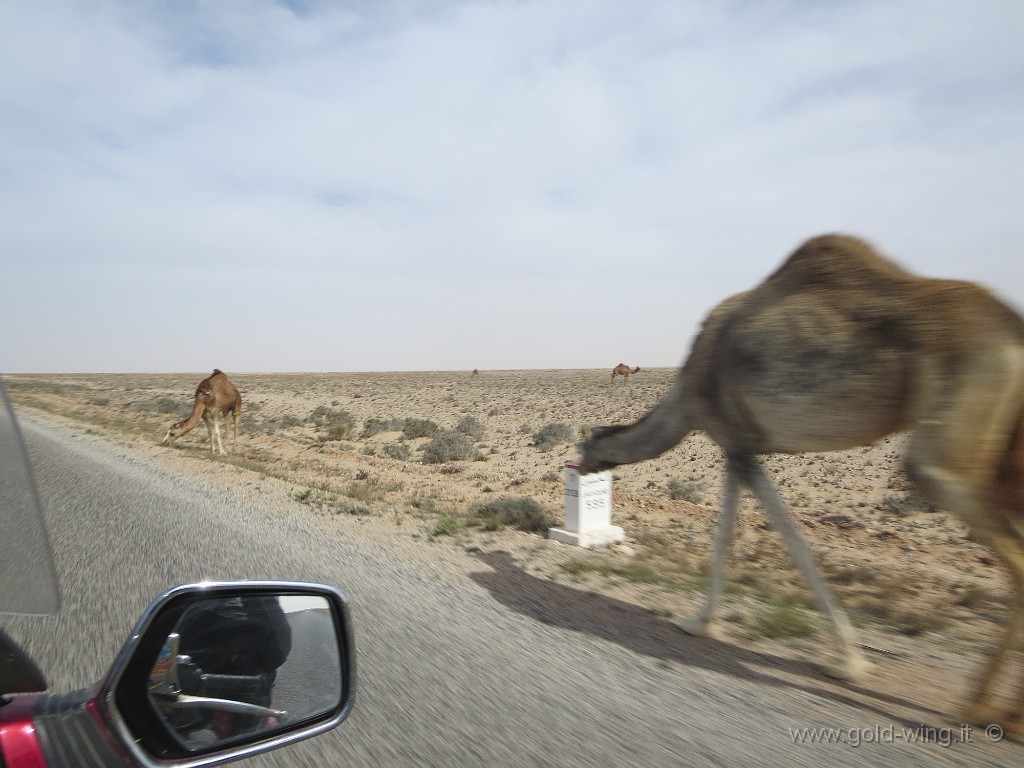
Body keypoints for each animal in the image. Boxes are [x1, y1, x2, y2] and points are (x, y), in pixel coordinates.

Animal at [585, 233, 1024, 733]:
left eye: (582, 447)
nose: (581, 466)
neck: (685, 398)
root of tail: (1011, 326)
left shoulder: (734, 439)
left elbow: (772, 537)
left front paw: (847, 660)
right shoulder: (741, 446)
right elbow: (739, 532)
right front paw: (705, 620)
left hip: (947, 446)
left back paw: (979, 708)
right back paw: (1002, 713)